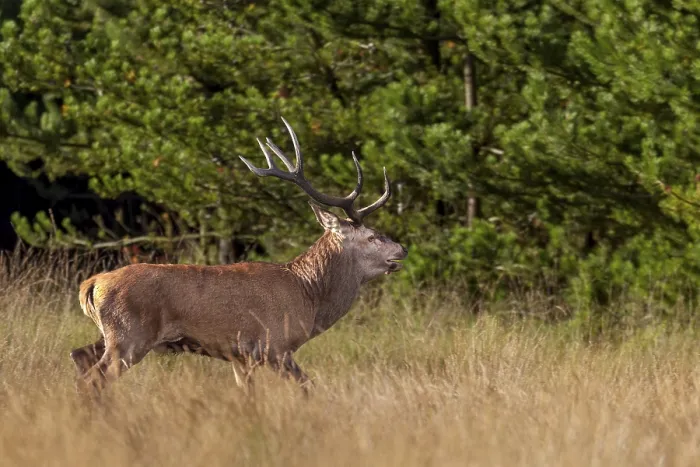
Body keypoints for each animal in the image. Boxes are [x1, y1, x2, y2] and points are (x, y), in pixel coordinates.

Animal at [69, 117, 408, 396]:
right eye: (372, 236)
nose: (402, 249)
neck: (309, 295)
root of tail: (93, 284)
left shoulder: (240, 356)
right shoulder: (274, 346)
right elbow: (307, 387)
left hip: (111, 335)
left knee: (78, 357)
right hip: (130, 334)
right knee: (93, 378)